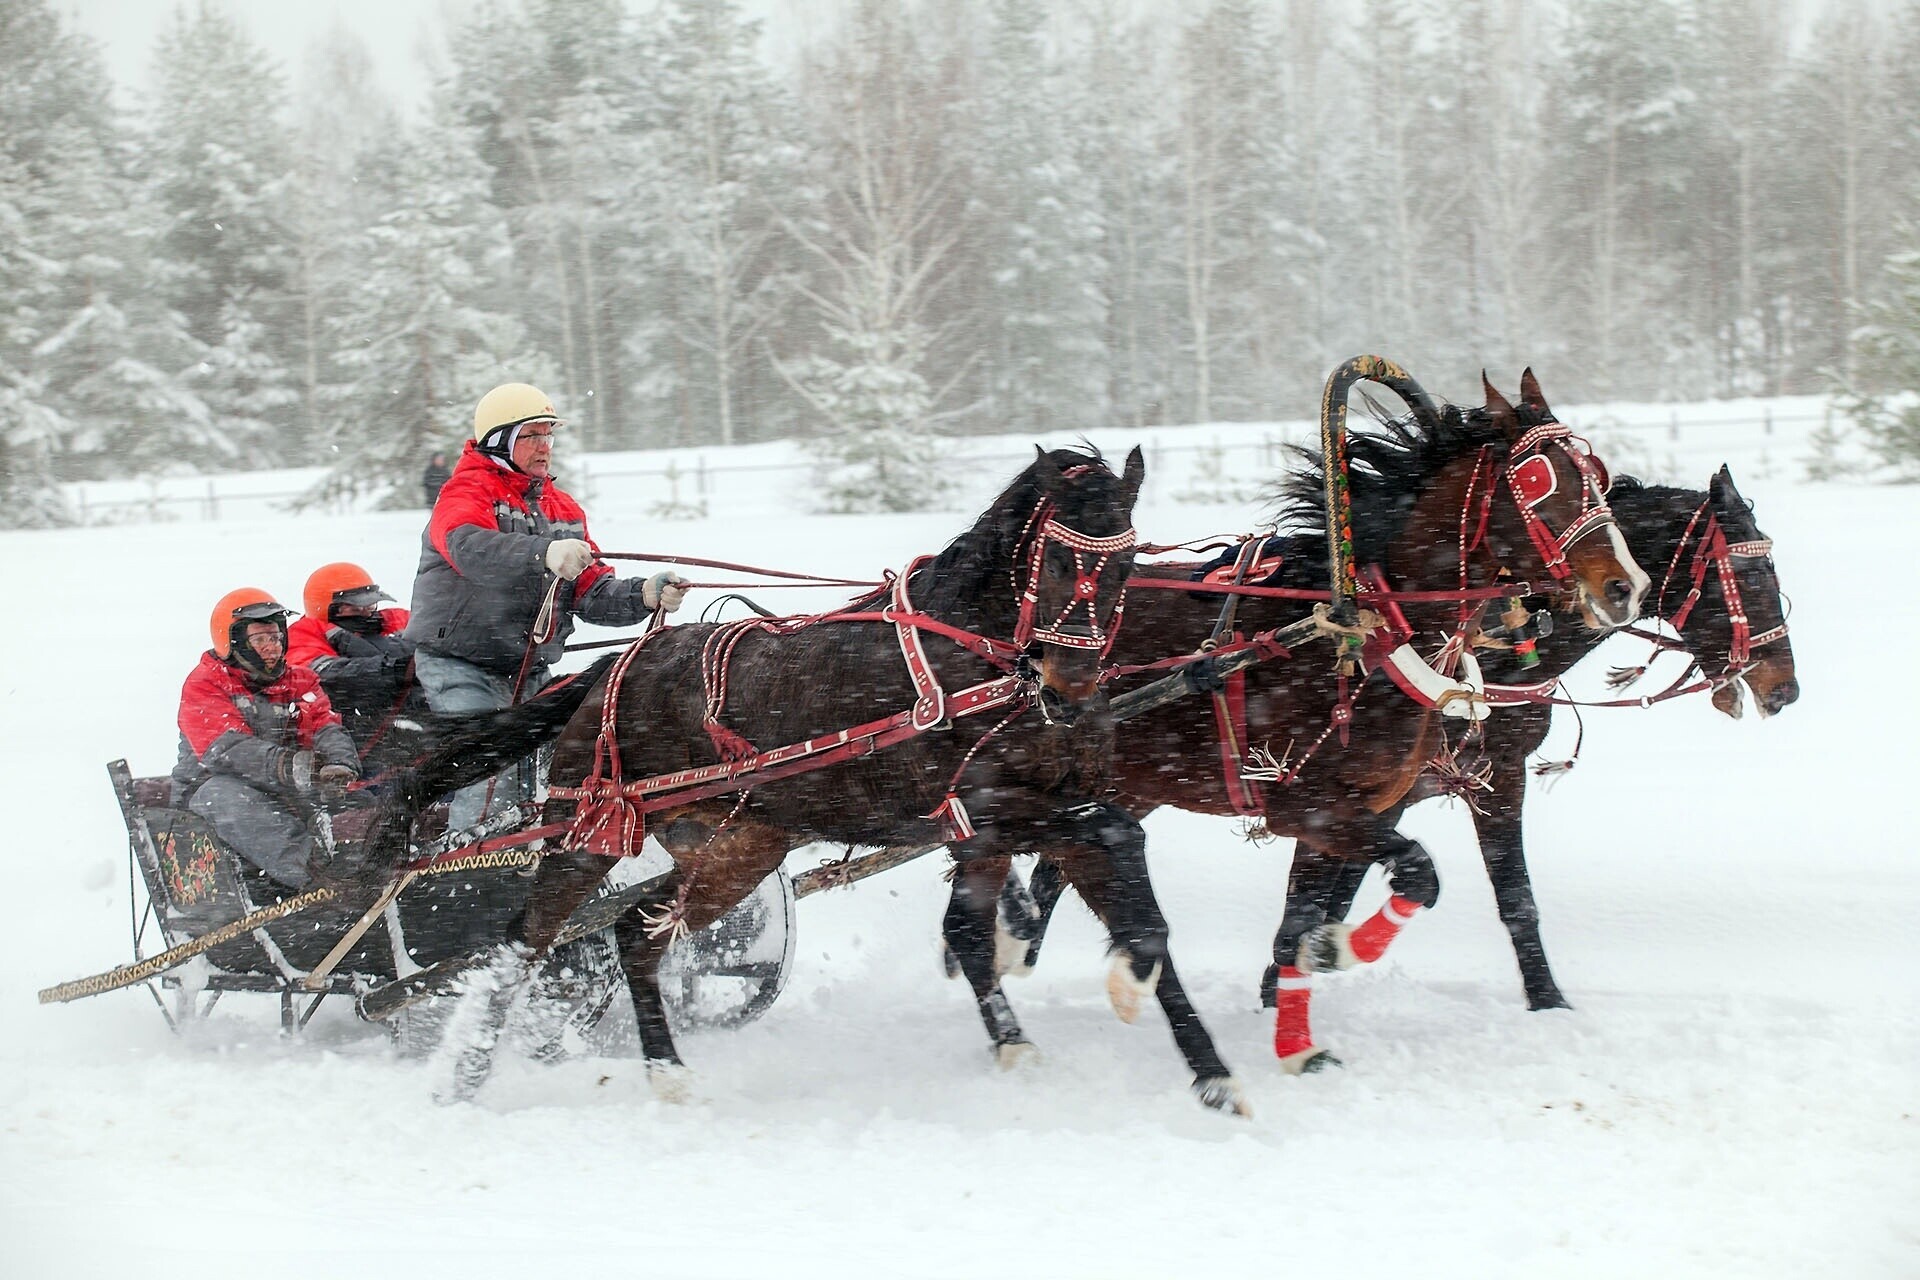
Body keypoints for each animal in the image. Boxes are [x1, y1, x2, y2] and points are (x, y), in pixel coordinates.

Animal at [940, 372, 1651, 1074]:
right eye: (1541, 482)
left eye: (1596, 474)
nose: (1626, 586)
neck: (1363, 630)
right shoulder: (1310, 808)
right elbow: (1416, 873)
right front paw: (1343, 951)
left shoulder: (1355, 814)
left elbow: (1303, 921)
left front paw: (1299, 1039)